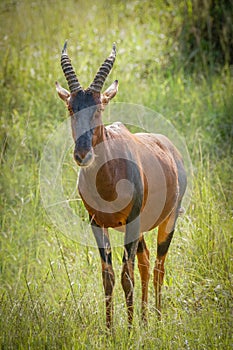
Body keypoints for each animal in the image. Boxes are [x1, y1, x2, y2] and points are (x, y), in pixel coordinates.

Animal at [55, 41, 187, 328]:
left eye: (99, 107)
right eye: (71, 107)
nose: (82, 154)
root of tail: (170, 148)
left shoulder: (132, 221)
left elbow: (127, 276)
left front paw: (127, 330)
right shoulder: (96, 223)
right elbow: (108, 276)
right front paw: (110, 330)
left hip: (167, 219)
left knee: (159, 265)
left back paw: (157, 320)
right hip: (139, 228)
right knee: (145, 262)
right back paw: (146, 321)